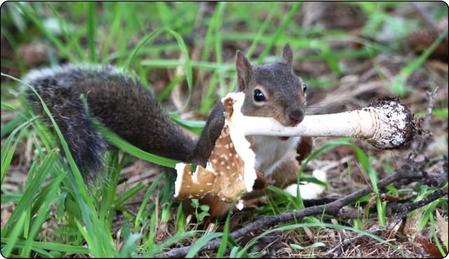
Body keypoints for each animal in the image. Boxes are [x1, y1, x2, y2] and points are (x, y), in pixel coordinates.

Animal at [23, 45, 312, 217]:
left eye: (303, 86)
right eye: (258, 95)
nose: (297, 115)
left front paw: (306, 143)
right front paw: (258, 177)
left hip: (286, 168)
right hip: (216, 195)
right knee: (210, 211)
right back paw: (249, 200)